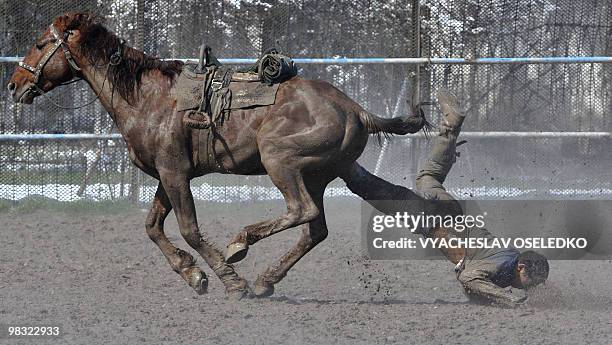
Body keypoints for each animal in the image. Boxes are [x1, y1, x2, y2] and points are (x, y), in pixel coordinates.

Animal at [7, 12, 428, 298]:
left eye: (42, 44)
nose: (15, 84)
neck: (147, 97)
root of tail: (354, 109)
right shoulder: (166, 175)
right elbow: (152, 226)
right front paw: (193, 274)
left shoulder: (175, 173)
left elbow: (189, 229)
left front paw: (228, 280)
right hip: (328, 174)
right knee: (322, 226)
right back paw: (265, 280)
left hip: (281, 161)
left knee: (301, 211)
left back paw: (241, 246)